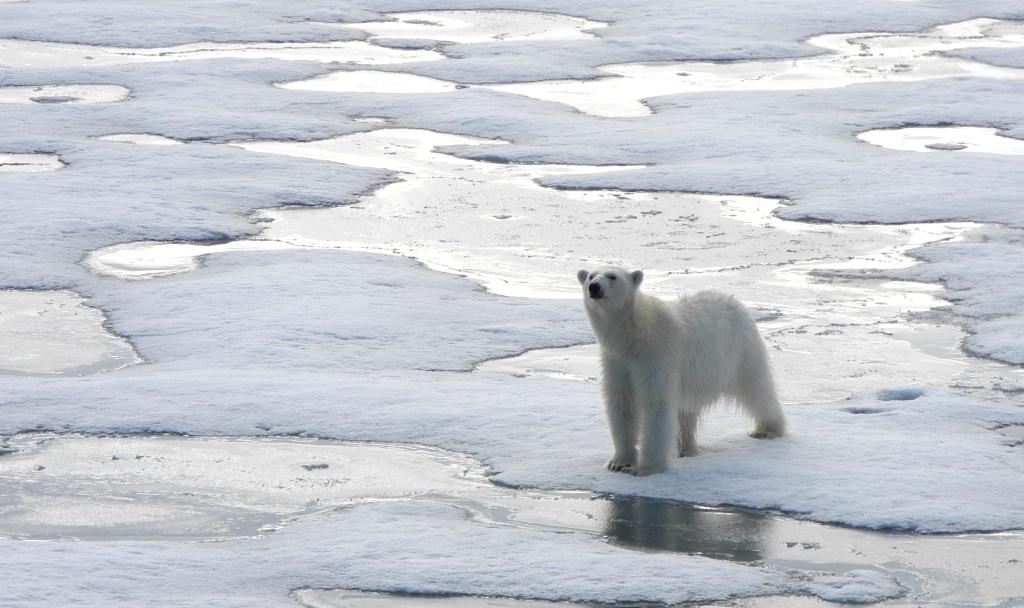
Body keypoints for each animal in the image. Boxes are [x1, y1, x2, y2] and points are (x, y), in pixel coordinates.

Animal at [577, 266, 782, 472]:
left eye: (612, 276)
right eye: (590, 276)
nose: (594, 287)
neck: (633, 336)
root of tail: (734, 301)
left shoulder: (655, 354)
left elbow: (656, 402)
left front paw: (645, 467)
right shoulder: (616, 359)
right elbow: (622, 403)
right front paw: (618, 462)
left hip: (740, 351)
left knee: (756, 388)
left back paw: (768, 429)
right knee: (687, 409)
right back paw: (686, 448)